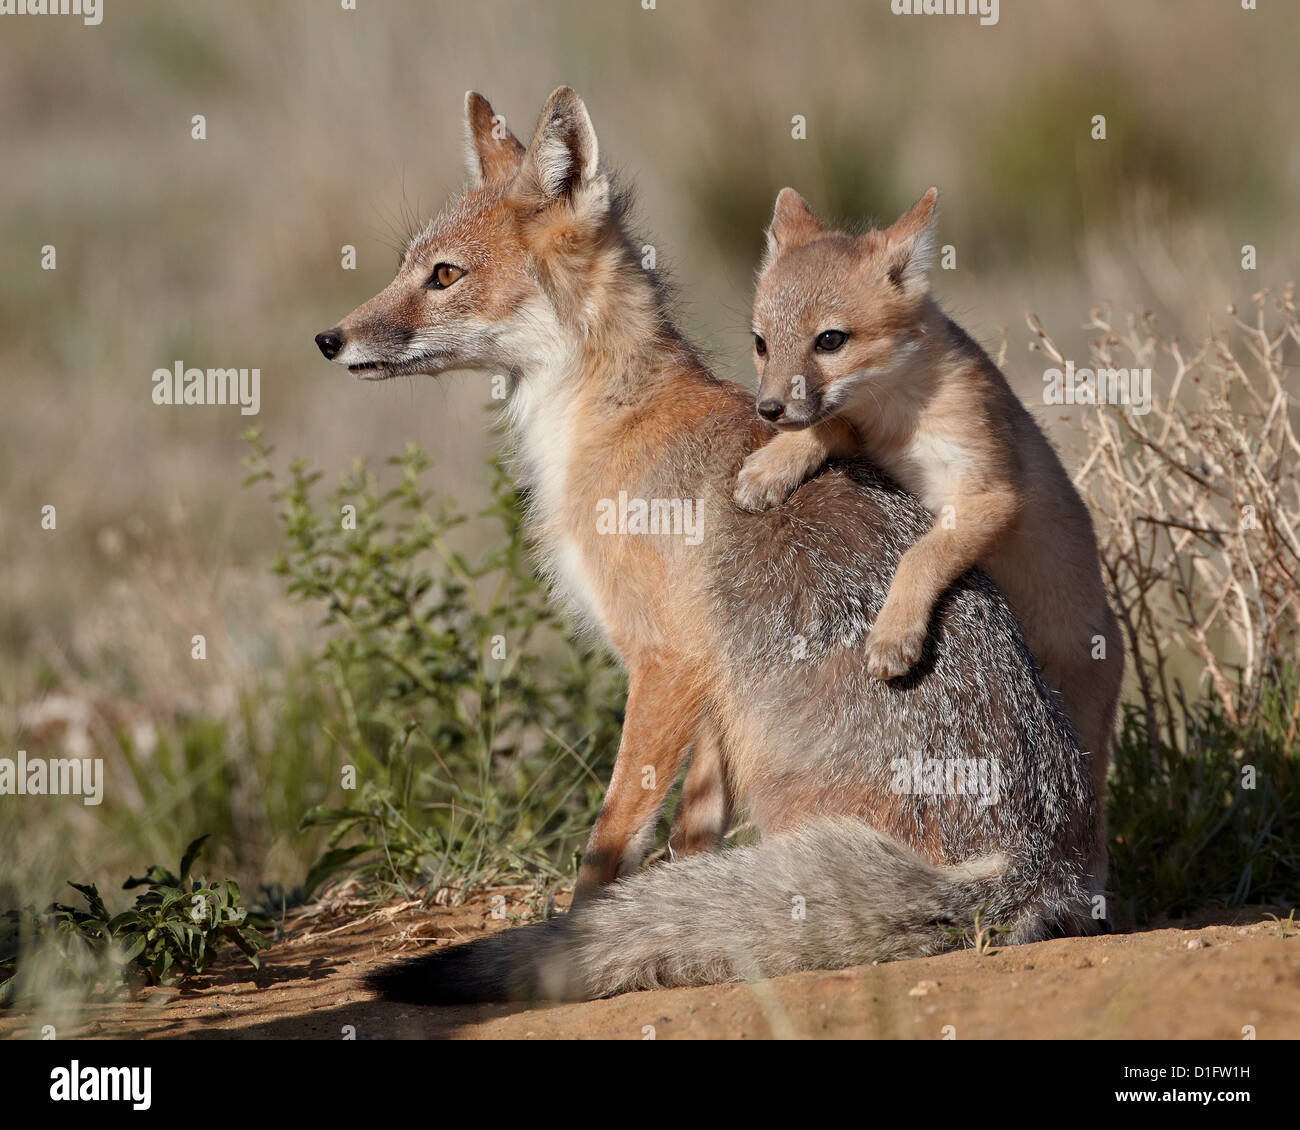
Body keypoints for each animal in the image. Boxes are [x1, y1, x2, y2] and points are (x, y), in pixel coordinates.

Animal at [732, 187, 1124, 882]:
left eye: (829, 340)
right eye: (760, 343)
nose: (769, 409)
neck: (899, 419)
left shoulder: (992, 498)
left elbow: (922, 554)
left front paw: (895, 632)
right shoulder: (870, 445)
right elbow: (829, 430)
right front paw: (776, 463)